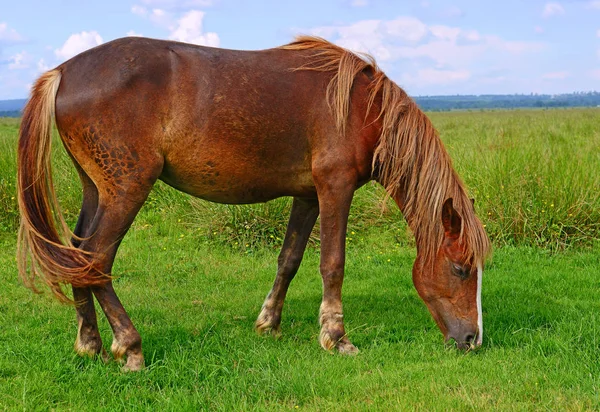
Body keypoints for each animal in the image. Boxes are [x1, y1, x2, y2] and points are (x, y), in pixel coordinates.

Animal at [17, 36, 488, 370]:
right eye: (461, 268)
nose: (473, 340)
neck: (361, 107)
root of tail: (62, 71)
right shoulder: (335, 187)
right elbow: (332, 263)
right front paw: (337, 337)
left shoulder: (307, 195)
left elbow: (290, 259)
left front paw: (269, 324)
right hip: (127, 188)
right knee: (96, 259)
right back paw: (129, 347)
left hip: (97, 189)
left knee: (76, 256)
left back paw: (90, 343)